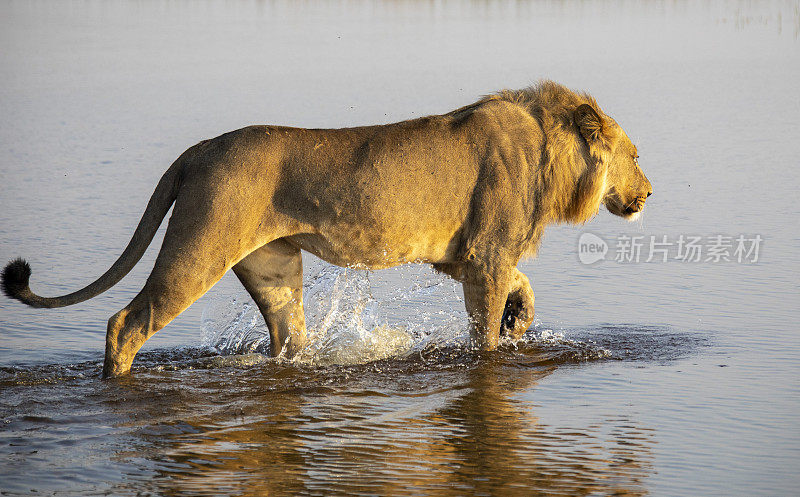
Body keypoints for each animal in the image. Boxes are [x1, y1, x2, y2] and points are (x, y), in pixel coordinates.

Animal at [3, 81, 648, 376]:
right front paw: (502, 335)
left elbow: (524, 288)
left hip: (275, 270)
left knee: (288, 341)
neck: (548, 154)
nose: (648, 194)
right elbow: (485, 332)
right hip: (198, 249)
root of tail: (199, 148)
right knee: (125, 322)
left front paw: (521, 319)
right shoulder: (485, 258)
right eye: (636, 154)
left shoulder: (468, 258)